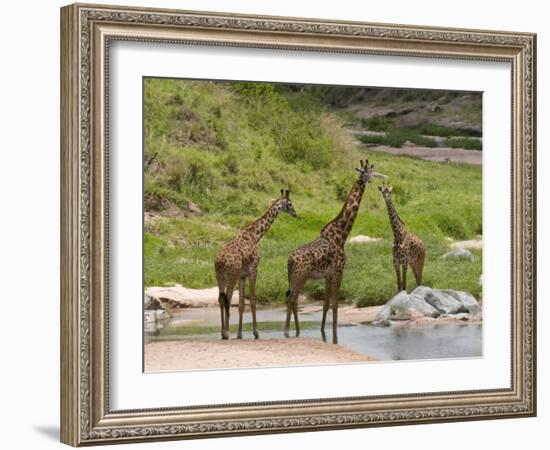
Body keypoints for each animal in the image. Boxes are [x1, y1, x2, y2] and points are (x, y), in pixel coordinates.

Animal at [216, 190, 298, 342]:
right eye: (290, 203)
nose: (295, 213)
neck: (256, 235)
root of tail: (219, 262)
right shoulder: (254, 270)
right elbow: (253, 301)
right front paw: (256, 333)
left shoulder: (242, 275)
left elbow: (242, 304)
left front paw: (240, 334)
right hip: (231, 276)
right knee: (227, 299)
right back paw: (226, 333)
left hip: (220, 277)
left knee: (220, 299)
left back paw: (223, 332)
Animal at [286, 160, 382, 342]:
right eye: (366, 172)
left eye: (371, 171)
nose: (372, 180)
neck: (342, 234)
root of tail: (289, 260)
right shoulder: (339, 271)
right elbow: (335, 304)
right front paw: (335, 334)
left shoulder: (328, 275)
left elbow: (326, 304)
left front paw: (323, 331)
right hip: (301, 276)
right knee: (292, 299)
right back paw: (289, 332)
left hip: (295, 278)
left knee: (291, 298)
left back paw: (296, 330)